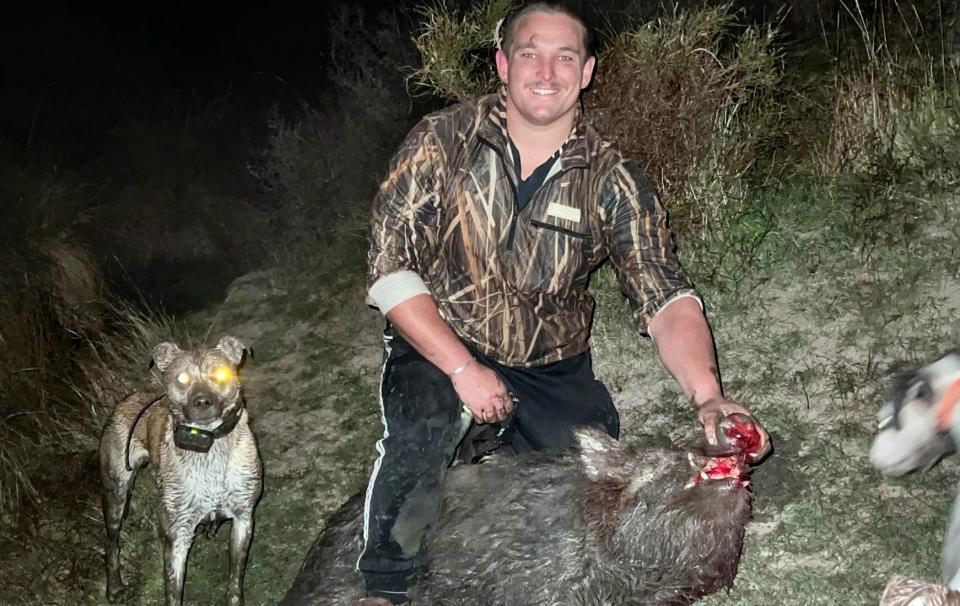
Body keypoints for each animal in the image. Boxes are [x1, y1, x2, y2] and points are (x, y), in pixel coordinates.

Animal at [99, 338, 262, 606]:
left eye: (220, 373)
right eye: (182, 378)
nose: (202, 401)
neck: (209, 447)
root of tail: (129, 397)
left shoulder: (243, 518)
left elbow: (235, 580)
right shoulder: (177, 535)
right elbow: (173, 592)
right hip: (116, 493)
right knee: (111, 542)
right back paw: (114, 587)